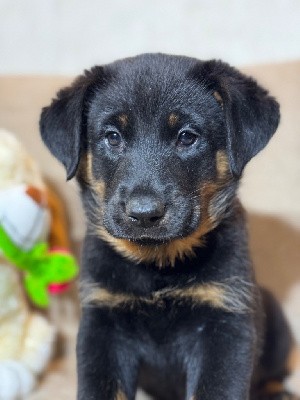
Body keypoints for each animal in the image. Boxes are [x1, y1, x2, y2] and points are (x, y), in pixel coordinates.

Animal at [39, 54, 296, 400]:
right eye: (112, 137)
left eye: (187, 137)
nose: (144, 213)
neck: (157, 265)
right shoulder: (102, 325)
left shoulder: (226, 322)